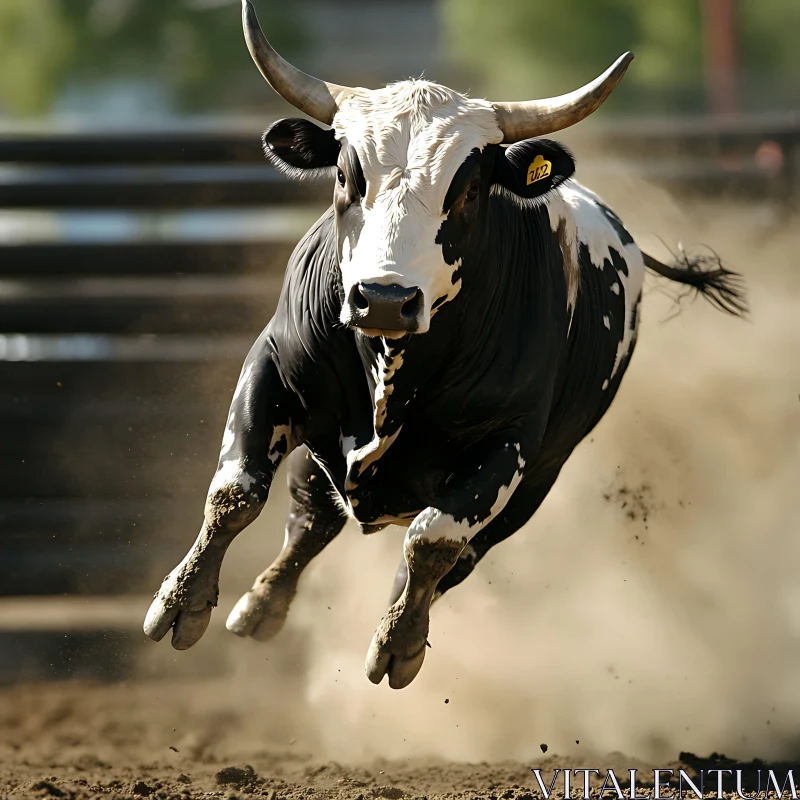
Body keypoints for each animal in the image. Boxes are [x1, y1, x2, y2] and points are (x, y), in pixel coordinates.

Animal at [142, 0, 744, 688]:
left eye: (470, 187)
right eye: (346, 174)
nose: (382, 298)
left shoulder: (508, 445)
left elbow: (433, 541)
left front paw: (399, 643)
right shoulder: (274, 370)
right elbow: (237, 490)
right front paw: (182, 604)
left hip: (536, 482)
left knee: (448, 556)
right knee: (310, 517)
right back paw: (261, 607)